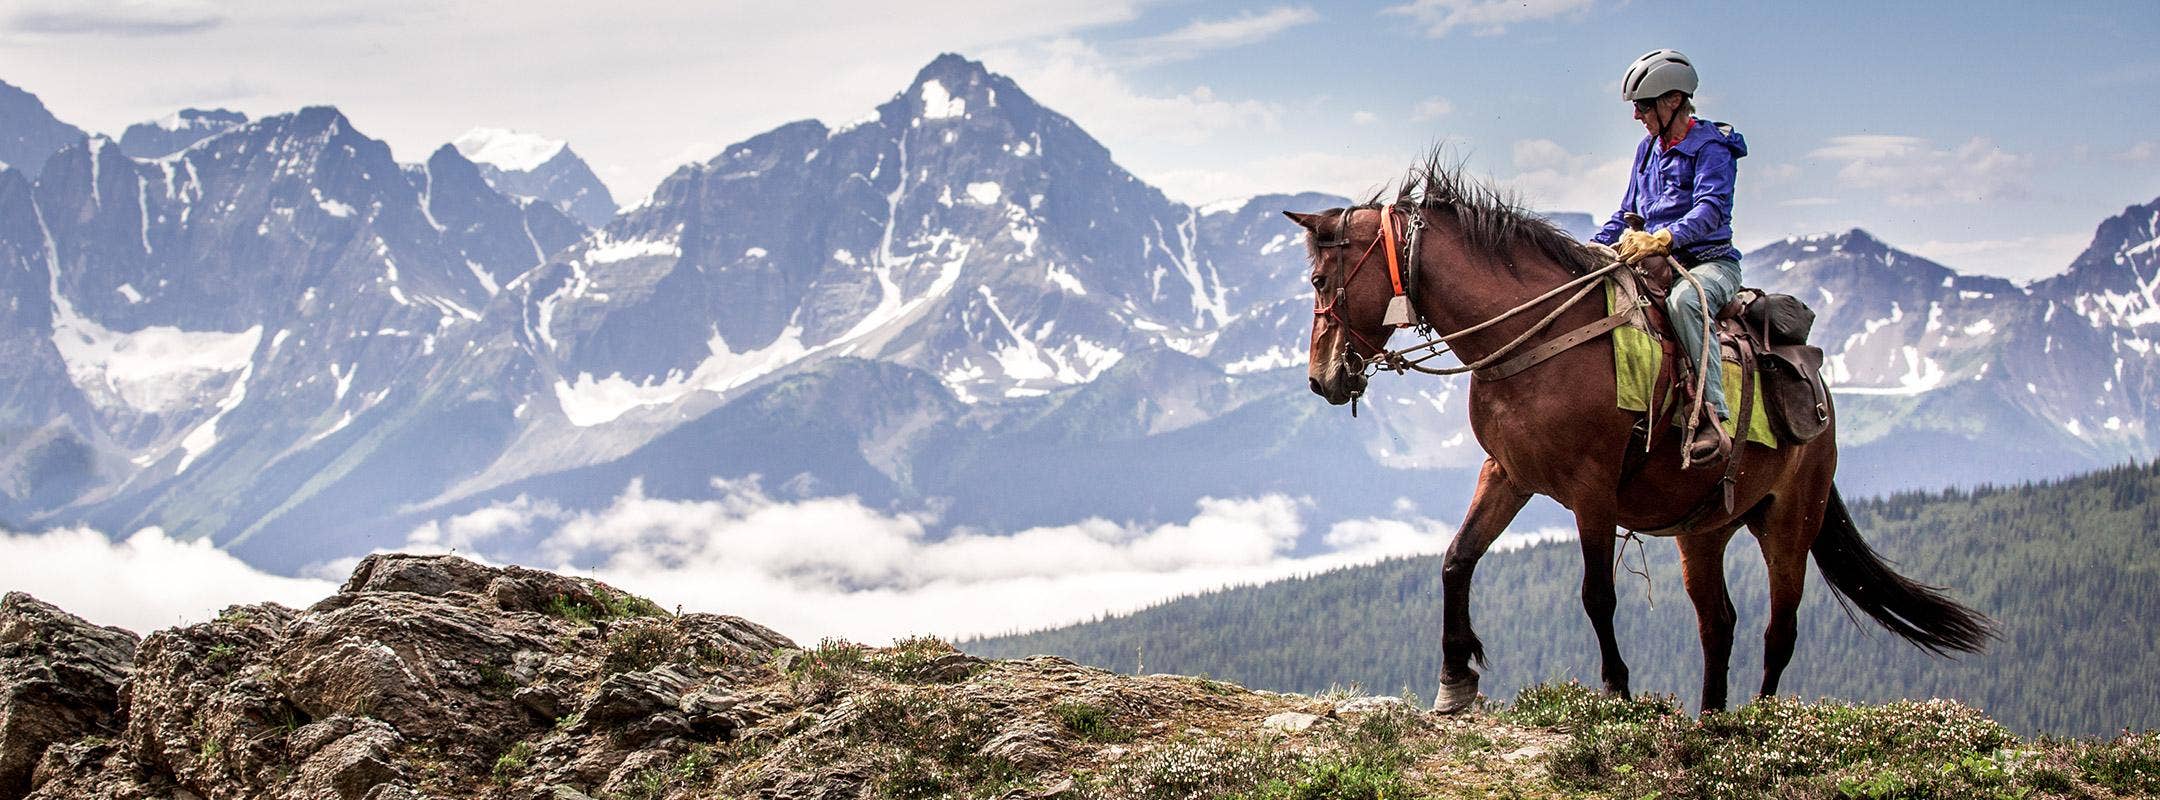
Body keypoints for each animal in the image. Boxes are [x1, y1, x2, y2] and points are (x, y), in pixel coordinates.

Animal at [1278, 162, 1987, 713]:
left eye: (1319, 281)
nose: (1322, 379)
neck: (1539, 335)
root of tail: (1821, 395)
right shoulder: (1506, 474)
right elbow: (1457, 559)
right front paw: (1455, 680)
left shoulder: (1592, 490)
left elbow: (1597, 594)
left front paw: (1617, 690)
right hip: (1703, 532)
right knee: (1718, 625)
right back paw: (1712, 721)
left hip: (1789, 521)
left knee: (1777, 632)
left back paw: (1758, 722)